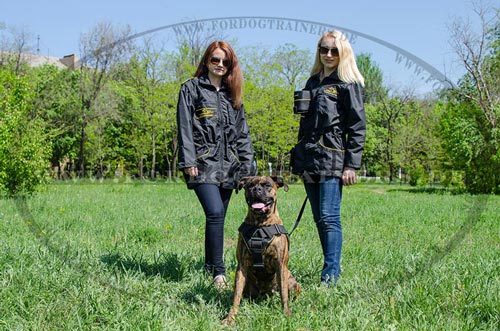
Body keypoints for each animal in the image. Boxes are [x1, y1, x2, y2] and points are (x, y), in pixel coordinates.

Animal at [223, 178, 300, 326]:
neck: (260, 225)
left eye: (267, 185)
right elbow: (236, 296)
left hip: (292, 281)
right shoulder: (241, 266)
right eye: (249, 185)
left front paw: (286, 314)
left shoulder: (281, 265)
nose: (256, 189)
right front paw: (230, 317)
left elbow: (284, 295)